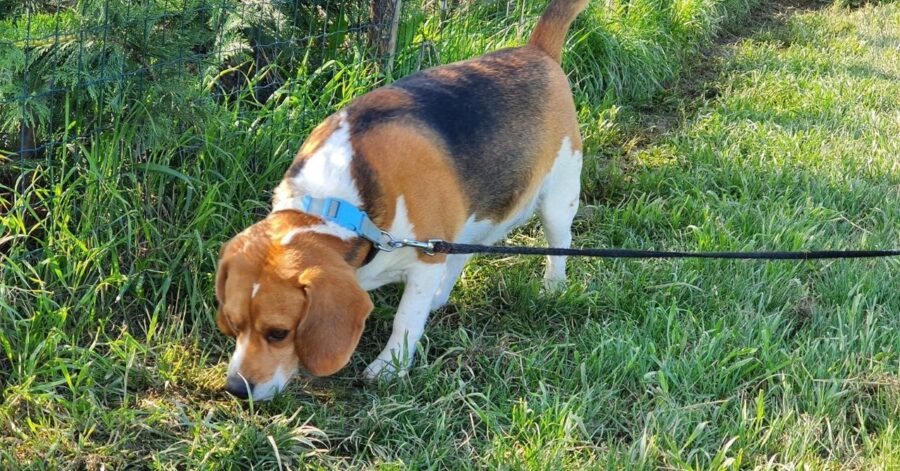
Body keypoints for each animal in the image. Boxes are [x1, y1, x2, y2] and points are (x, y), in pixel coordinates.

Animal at [214, 0, 588, 402]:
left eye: (279, 333)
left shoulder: (426, 256)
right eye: (233, 324)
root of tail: (537, 51)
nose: (236, 389)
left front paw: (389, 367)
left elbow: (405, 319)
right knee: (468, 250)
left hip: (558, 198)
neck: (339, 205)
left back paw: (552, 287)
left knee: (558, 244)